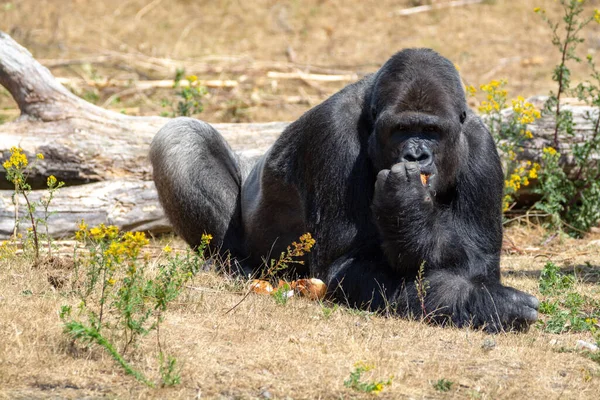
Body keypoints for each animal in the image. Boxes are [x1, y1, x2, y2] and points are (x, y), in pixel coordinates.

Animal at [151, 48, 540, 332]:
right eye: (401, 129)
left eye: (432, 130)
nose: (416, 154)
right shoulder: (334, 133)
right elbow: (344, 264)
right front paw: (483, 303)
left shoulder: (481, 146)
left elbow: (479, 262)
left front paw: (409, 210)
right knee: (181, 139)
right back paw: (232, 263)